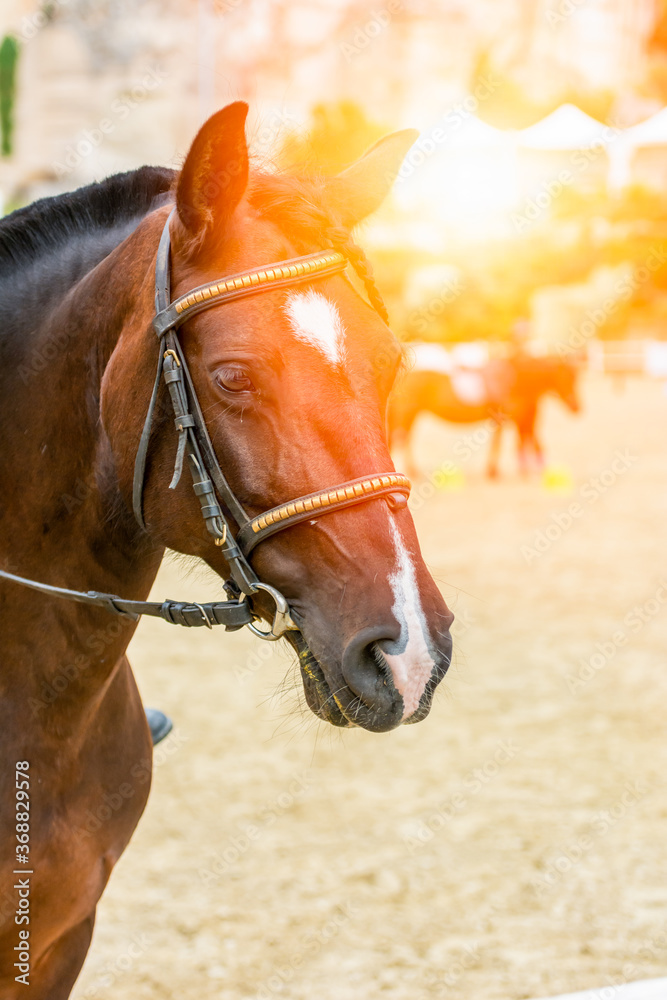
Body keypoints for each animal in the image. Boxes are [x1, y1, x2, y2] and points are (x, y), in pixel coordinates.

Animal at [388, 344, 581, 478]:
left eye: (576, 377)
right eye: (567, 377)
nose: (577, 407)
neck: (516, 378)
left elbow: (506, 440)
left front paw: (494, 470)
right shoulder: (514, 417)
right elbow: (513, 441)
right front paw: (498, 471)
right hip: (408, 413)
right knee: (402, 437)